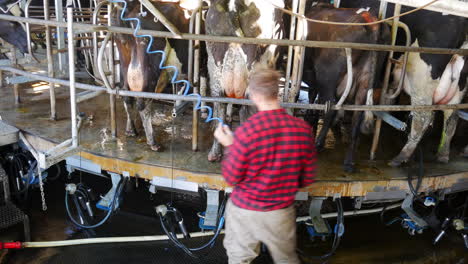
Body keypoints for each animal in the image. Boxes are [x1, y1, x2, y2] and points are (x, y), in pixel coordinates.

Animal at [111, 0, 192, 151]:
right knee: (144, 102)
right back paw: (152, 142)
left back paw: (131, 130)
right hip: (150, 65)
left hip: (125, 60)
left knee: (127, 95)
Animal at [302, 3, 390, 173]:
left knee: (330, 107)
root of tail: (370, 21)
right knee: (356, 120)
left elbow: (312, 94)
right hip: (366, 81)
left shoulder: (312, 74)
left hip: (327, 75)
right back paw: (349, 162)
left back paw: (318, 144)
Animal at [336, 0, 468, 167]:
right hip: (458, 87)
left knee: (423, 118)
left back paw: (400, 157)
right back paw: (443, 154)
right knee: (451, 117)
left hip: (421, 80)